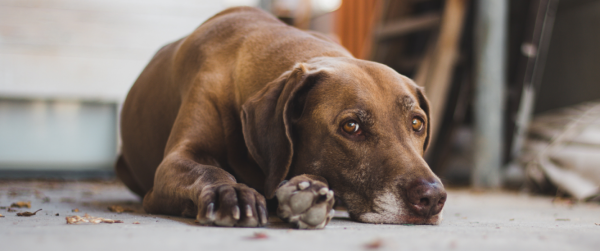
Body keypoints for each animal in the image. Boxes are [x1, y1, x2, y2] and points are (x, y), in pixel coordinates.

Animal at [116, 6, 446, 229]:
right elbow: (207, 170)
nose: (432, 198)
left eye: (417, 123)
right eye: (351, 127)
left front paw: (307, 190)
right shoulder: (174, 162)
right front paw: (231, 191)